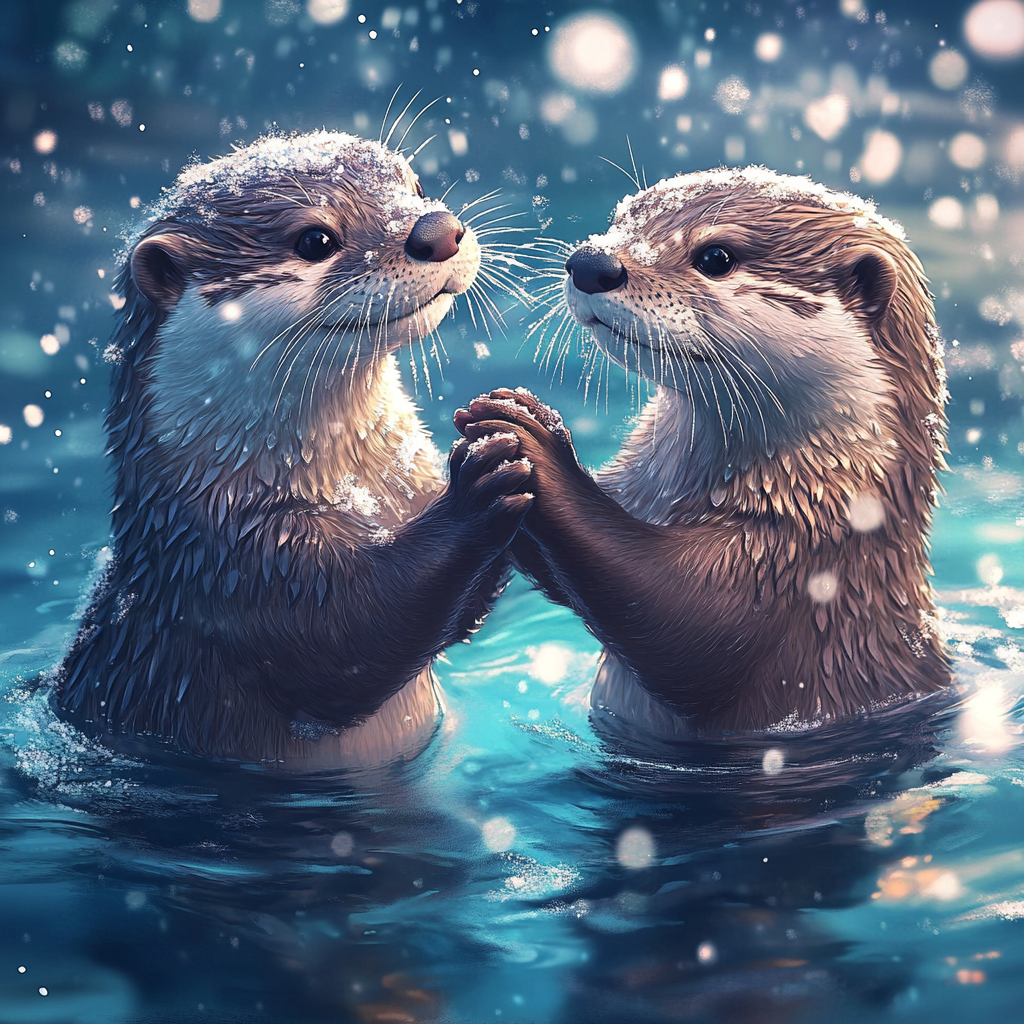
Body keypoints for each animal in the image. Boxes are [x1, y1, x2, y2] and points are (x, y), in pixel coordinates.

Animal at [57, 131, 533, 767]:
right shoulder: (237, 572)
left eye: (415, 186)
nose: (438, 229)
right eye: (316, 240)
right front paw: (481, 488)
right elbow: (348, 640)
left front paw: (519, 422)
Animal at [457, 166, 952, 739]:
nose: (591, 263)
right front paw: (489, 449)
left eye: (716, 257)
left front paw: (534, 447)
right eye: (624, 218)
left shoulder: (790, 567)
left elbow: (679, 622)